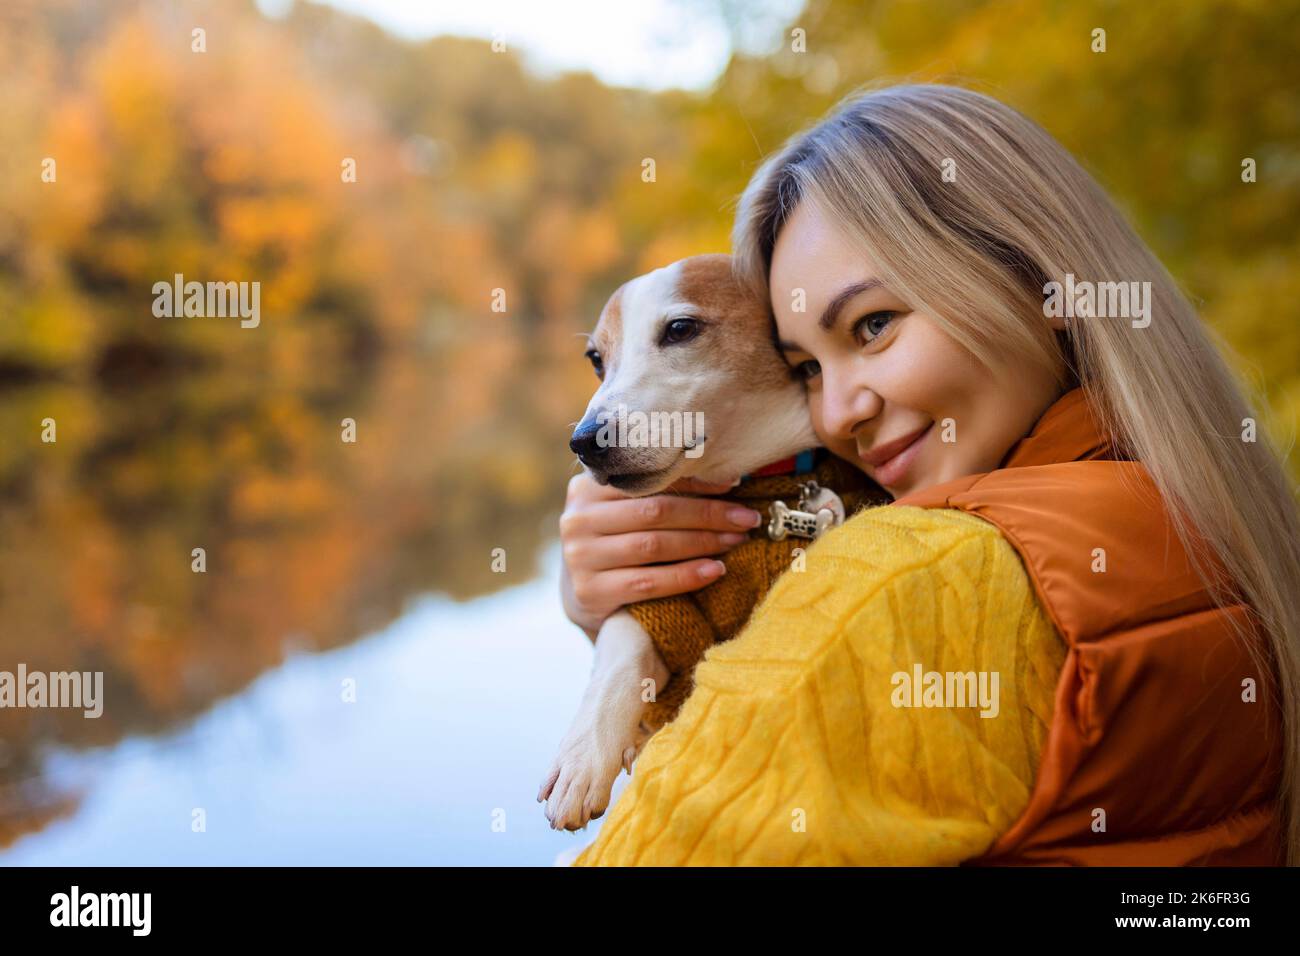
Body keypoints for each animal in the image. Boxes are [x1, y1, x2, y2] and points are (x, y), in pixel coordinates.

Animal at [535, 252, 883, 832]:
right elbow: (619, 649)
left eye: (680, 329)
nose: (584, 441)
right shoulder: (657, 599)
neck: (750, 480)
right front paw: (584, 754)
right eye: (595, 359)